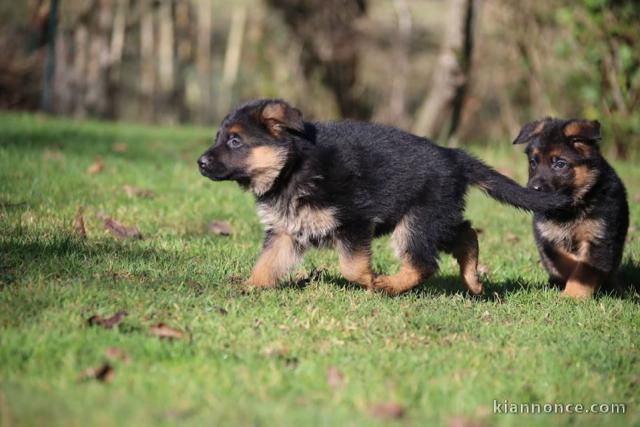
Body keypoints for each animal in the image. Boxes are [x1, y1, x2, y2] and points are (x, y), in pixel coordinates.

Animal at [198, 99, 568, 298]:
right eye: (219, 138)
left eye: (234, 141)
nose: (200, 162)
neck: (292, 166)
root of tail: (453, 155)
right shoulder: (285, 232)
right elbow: (266, 264)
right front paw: (249, 286)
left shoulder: (353, 220)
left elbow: (351, 267)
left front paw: (371, 281)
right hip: (436, 217)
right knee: (466, 234)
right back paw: (473, 280)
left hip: (416, 221)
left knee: (423, 263)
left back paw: (390, 285)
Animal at [512, 117, 628, 298]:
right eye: (533, 162)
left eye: (560, 164)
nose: (533, 189)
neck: (569, 208)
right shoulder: (548, 237)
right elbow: (564, 262)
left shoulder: (598, 238)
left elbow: (584, 270)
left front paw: (572, 296)